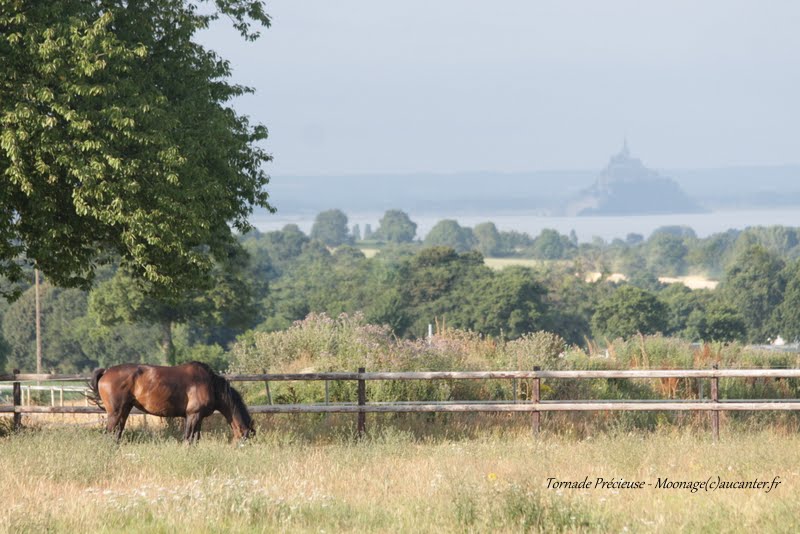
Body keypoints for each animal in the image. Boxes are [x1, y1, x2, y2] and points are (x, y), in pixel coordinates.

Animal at [87, 364, 252, 444]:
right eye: (246, 439)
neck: (209, 383)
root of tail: (106, 372)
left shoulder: (198, 418)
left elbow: (195, 440)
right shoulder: (193, 415)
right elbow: (188, 439)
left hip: (124, 411)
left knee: (117, 435)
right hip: (115, 413)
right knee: (109, 434)